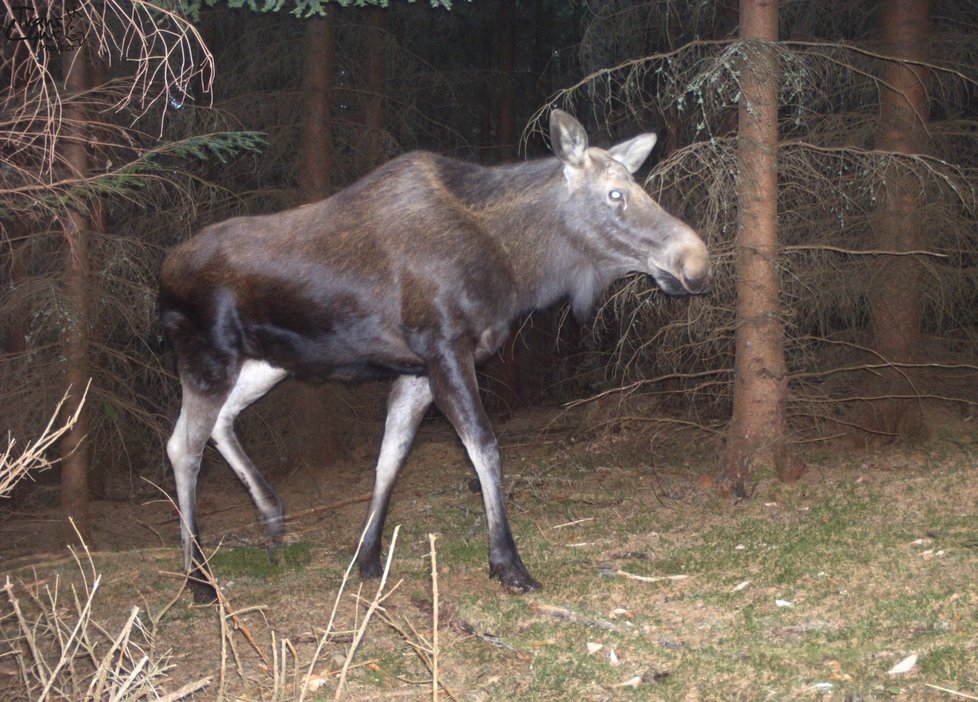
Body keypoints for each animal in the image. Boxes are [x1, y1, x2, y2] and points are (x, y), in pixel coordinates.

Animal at [160, 110, 708, 604]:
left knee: (215, 423)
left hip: (267, 361)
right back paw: (198, 577)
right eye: (615, 194)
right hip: (208, 354)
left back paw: (269, 510)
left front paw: (366, 557)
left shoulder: (417, 370)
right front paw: (508, 563)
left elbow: (391, 456)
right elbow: (484, 447)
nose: (696, 261)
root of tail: (161, 276)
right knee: (183, 446)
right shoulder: (446, 347)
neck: (516, 268)